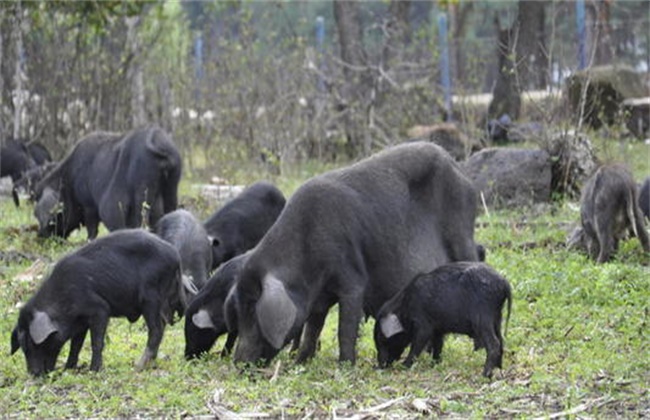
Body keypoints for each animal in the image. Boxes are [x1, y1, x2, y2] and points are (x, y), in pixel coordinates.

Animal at [11, 228, 186, 376]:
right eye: (22, 346)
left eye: (31, 343)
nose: (33, 374)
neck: (61, 301)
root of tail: (175, 255)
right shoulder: (80, 322)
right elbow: (76, 345)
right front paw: (68, 369)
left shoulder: (99, 309)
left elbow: (97, 341)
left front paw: (93, 371)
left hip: (151, 297)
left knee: (157, 329)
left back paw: (138, 367)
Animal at [225, 141, 478, 364]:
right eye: (239, 310)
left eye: (254, 311)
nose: (239, 362)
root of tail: (462, 172)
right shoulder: (319, 298)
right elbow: (313, 329)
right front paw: (300, 362)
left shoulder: (352, 277)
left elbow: (345, 327)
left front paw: (345, 365)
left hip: (462, 236)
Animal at [374, 262, 512, 378]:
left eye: (381, 338)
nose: (379, 366)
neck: (405, 307)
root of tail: (504, 283)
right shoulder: (438, 329)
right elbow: (438, 345)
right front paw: (434, 364)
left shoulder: (423, 325)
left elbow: (417, 344)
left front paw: (404, 365)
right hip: (497, 318)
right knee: (501, 341)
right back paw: (498, 370)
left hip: (483, 319)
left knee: (494, 343)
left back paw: (485, 374)